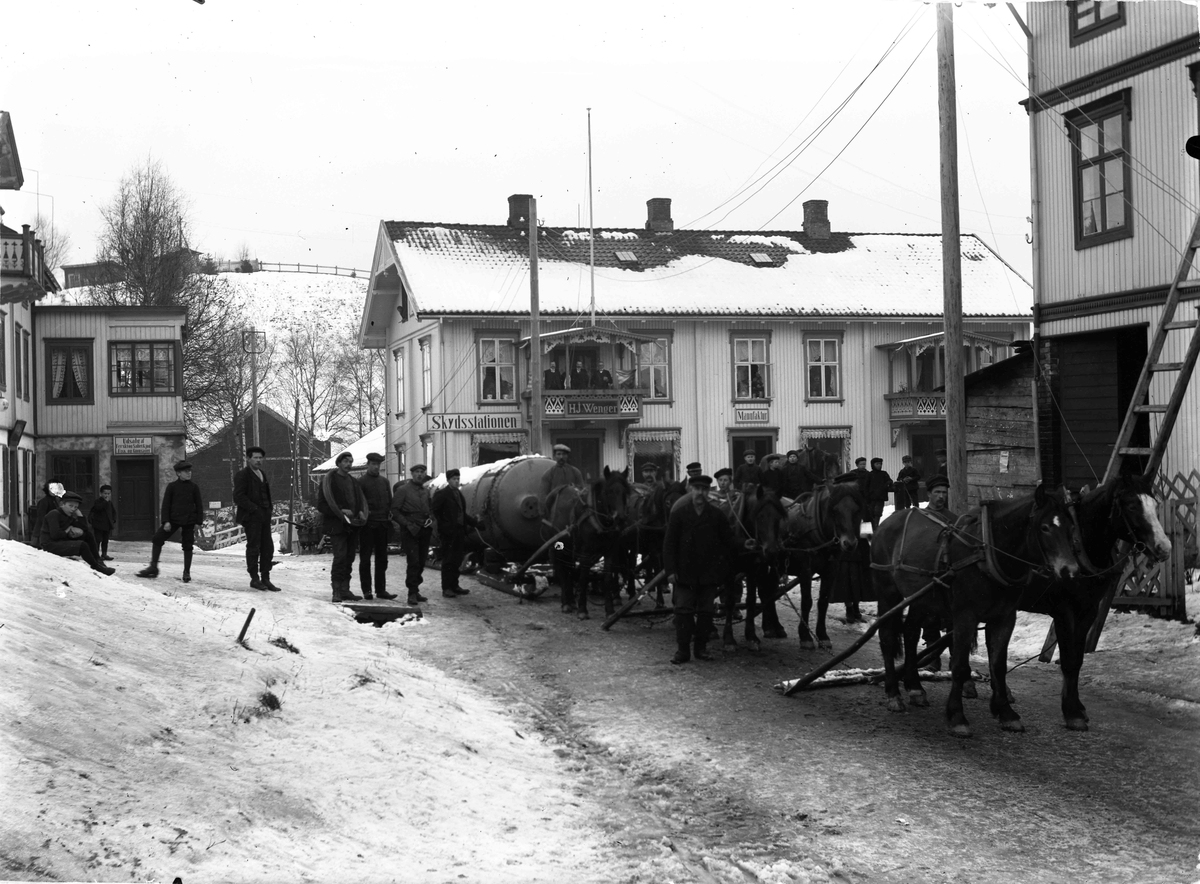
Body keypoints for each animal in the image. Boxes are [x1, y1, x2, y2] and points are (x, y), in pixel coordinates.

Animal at [547, 465, 638, 618]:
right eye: (609, 491)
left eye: (625, 492)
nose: (620, 518)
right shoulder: (585, 551)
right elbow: (583, 576)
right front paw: (582, 609)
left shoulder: (611, 550)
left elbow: (607, 577)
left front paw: (610, 610)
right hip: (559, 546)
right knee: (562, 571)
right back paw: (566, 603)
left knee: (569, 570)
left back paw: (571, 601)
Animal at [782, 479, 868, 652]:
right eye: (834, 511)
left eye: (857, 510)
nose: (849, 544)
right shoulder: (805, 570)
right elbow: (806, 602)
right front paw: (805, 637)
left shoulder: (831, 571)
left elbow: (823, 602)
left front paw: (822, 636)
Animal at [868, 482, 1084, 738]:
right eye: (1044, 527)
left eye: (1071, 527)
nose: (1070, 571)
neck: (987, 554)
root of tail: (887, 522)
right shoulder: (965, 616)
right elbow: (959, 665)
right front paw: (957, 716)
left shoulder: (1004, 618)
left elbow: (998, 666)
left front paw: (1006, 713)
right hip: (887, 593)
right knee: (887, 637)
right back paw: (893, 693)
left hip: (922, 599)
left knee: (910, 633)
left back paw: (915, 688)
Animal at [1017, 474, 1166, 729]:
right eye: (1132, 505)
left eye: (1155, 505)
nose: (1163, 547)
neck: (1080, 544)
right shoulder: (1064, 611)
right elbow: (1068, 659)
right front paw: (1072, 713)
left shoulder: (1088, 610)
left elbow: (1077, 659)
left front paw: (1077, 707)